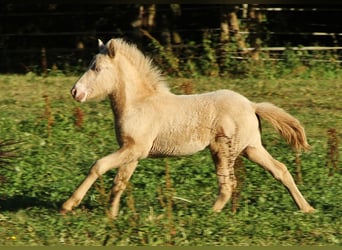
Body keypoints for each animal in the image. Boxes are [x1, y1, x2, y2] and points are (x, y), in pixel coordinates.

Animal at [60, 38, 314, 218]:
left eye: (97, 68)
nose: (75, 92)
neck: (138, 103)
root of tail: (251, 105)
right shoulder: (131, 152)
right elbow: (119, 182)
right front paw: (111, 216)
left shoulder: (135, 149)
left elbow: (98, 166)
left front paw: (68, 205)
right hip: (251, 148)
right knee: (280, 170)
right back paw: (306, 208)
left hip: (223, 150)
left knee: (228, 184)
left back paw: (208, 215)